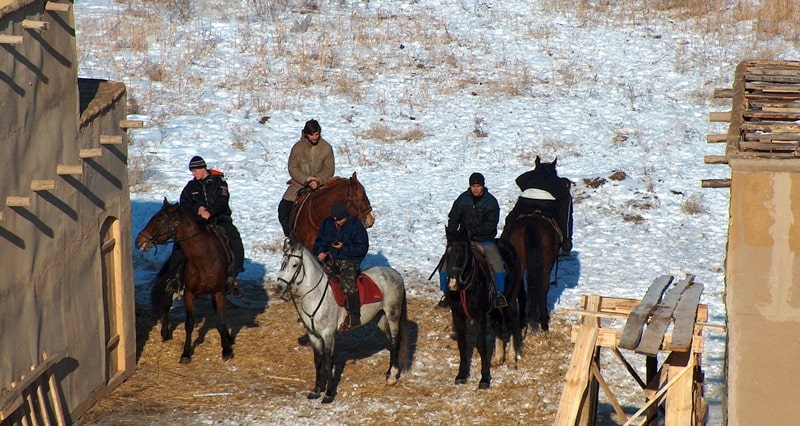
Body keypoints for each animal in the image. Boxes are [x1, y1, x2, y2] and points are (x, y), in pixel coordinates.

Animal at [134, 200, 233, 362]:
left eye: (158, 219)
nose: (138, 241)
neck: (203, 259)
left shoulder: (219, 292)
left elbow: (221, 321)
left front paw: (226, 350)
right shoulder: (189, 294)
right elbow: (189, 324)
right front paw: (186, 353)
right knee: (166, 304)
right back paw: (165, 333)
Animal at [276, 240, 412, 402]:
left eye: (295, 265)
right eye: (282, 263)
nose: (279, 288)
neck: (315, 295)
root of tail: (395, 274)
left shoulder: (328, 335)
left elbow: (328, 363)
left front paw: (328, 394)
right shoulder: (313, 335)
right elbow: (318, 362)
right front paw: (316, 390)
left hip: (393, 315)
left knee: (395, 341)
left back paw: (392, 377)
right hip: (380, 318)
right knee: (391, 342)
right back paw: (388, 372)